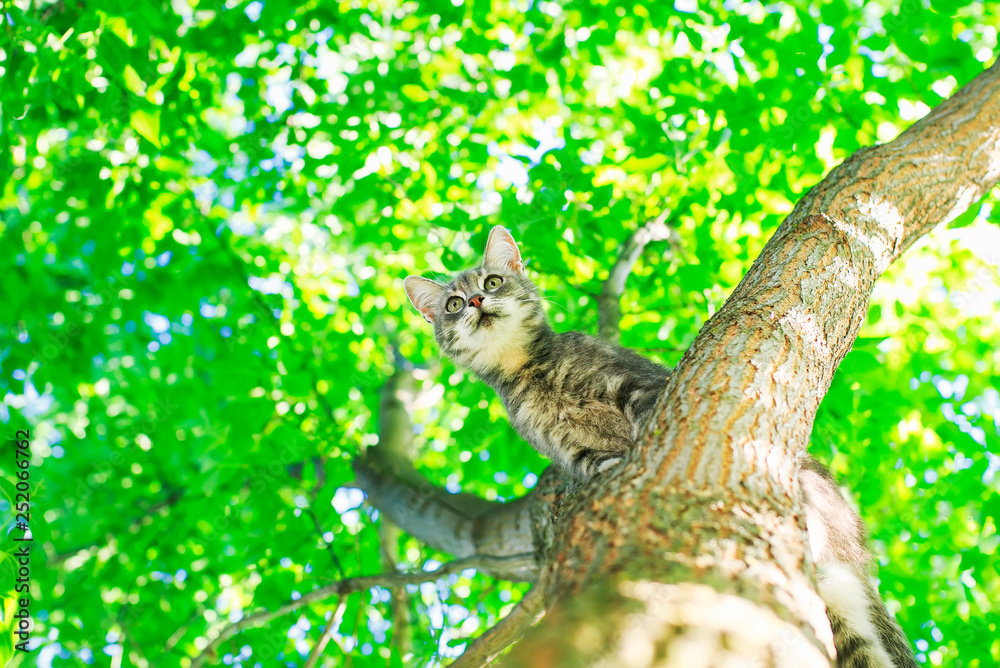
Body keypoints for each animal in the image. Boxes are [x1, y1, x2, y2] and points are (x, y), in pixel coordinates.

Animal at [402, 226, 916, 668]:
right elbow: (596, 462)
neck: (530, 369)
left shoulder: (634, 383)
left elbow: (646, 412)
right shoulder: (567, 448)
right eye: (452, 304)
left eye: (493, 281)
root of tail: (855, 552)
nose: (474, 300)